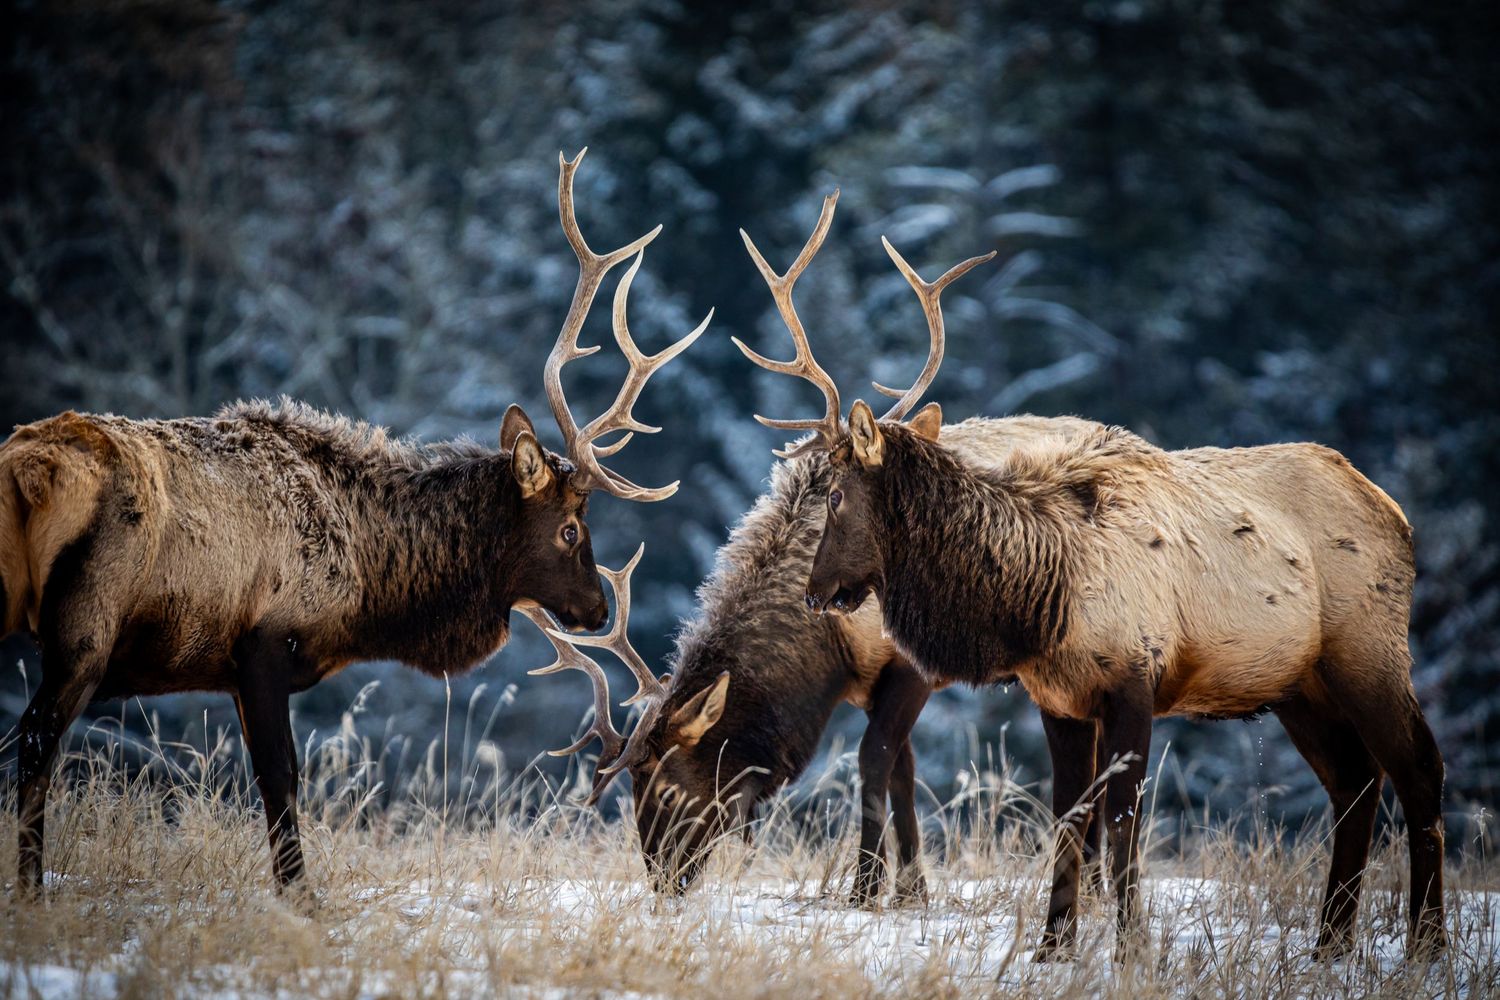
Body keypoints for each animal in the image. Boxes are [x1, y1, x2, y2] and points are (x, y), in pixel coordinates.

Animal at [0, 149, 710, 894]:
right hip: (87, 621)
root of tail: (28, 467)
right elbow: (281, 779)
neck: (368, 594)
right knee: (37, 738)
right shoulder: (262, 645)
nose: (598, 607)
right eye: (571, 529)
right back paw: (32, 888)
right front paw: (299, 895)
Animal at [527, 192, 1104, 906]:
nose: (664, 882)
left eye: (664, 786)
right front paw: (911, 889)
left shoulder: (910, 665)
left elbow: (873, 762)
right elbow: (905, 771)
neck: (826, 651)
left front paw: (865, 888)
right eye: (629, 789)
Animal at [738, 198, 1447, 961]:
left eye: (835, 495)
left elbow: (1123, 819)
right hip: (1297, 682)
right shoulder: (1059, 699)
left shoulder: (1135, 678)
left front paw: (1131, 944)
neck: (1039, 602)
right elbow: (1071, 816)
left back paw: (1427, 943)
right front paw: (1054, 945)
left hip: (1368, 650)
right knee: (1354, 780)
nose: (816, 592)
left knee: (1417, 767)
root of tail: (1398, 515)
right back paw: (1330, 943)